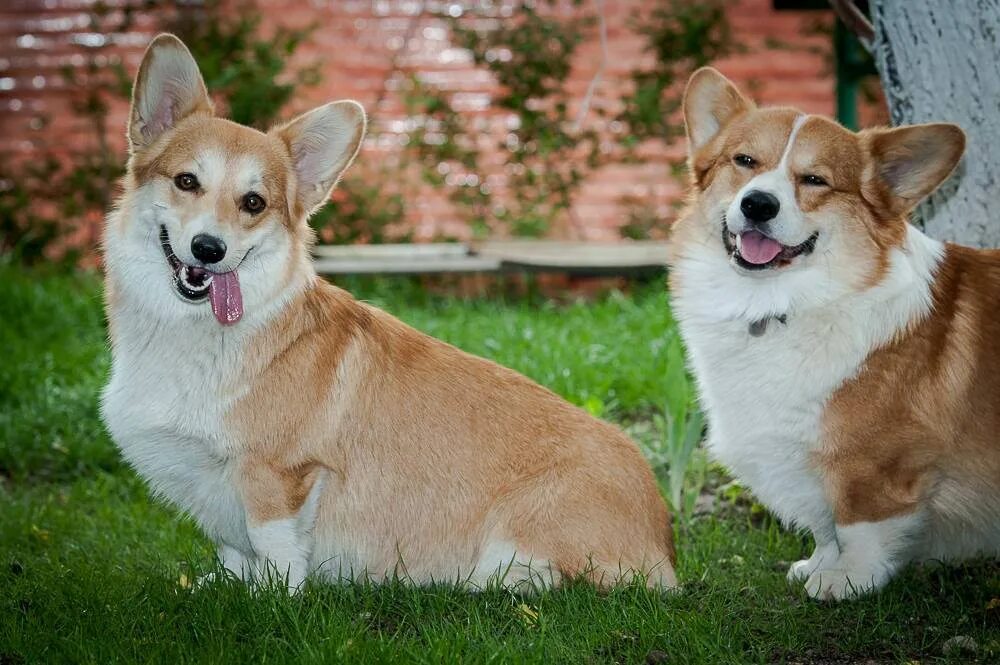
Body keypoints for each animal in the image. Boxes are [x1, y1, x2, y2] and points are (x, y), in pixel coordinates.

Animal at [99, 35, 680, 592]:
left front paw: (272, 596)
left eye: (254, 203)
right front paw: (221, 585)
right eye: (187, 181)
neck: (196, 331)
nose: (208, 249)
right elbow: (233, 549)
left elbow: (275, 549)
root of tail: (665, 543)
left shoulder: (279, 474)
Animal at [672, 68, 1000, 600]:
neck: (780, 304)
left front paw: (848, 580)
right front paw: (820, 563)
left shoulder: (874, 466)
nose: (757, 204)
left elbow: (858, 525)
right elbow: (827, 527)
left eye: (815, 180)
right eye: (744, 161)